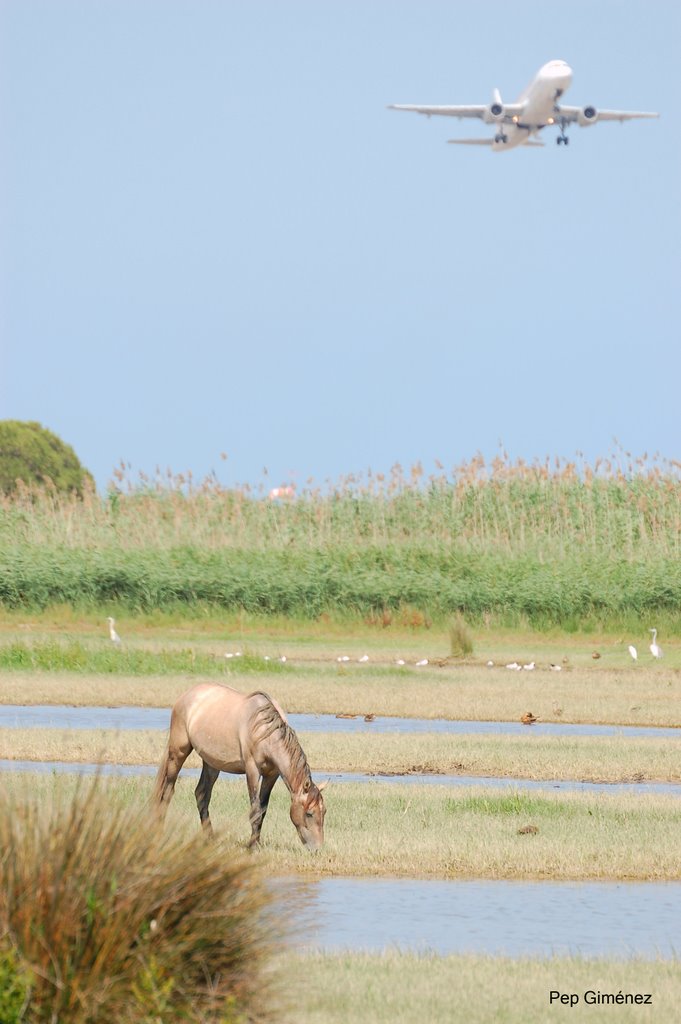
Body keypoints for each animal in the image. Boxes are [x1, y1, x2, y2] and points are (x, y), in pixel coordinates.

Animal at [153, 688, 327, 847]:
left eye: (324, 811)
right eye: (309, 814)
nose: (317, 848)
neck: (264, 730)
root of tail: (186, 695)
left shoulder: (272, 775)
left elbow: (263, 810)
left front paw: (256, 842)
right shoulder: (252, 771)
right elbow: (255, 811)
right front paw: (252, 847)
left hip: (211, 763)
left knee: (202, 794)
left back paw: (210, 838)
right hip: (178, 753)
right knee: (167, 792)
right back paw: (160, 832)